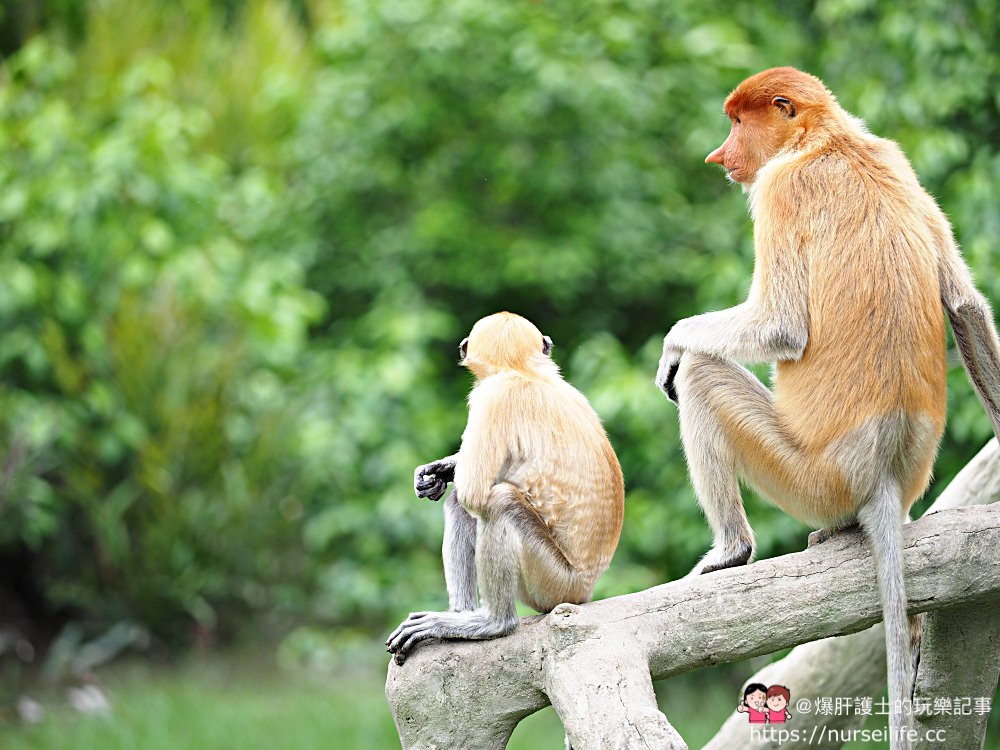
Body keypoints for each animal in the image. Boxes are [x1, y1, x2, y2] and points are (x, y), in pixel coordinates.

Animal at [386, 314, 620, 668]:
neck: (523, 370)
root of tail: (585, 588)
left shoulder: (493, 398)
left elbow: (474, 493)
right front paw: (441, 470)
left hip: (552, 582)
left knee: (497, 502)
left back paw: (493, 622)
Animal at [652, 67, 1000, 750]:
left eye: (738, 122)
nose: (720, 156)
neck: (827, 142)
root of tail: (882, 477)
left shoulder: (779, 191)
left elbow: (780, 325)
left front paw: (674, 344)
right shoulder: (898, 159)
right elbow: (966, 305)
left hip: (808, 477)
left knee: (704, 378)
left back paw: (731, 551)